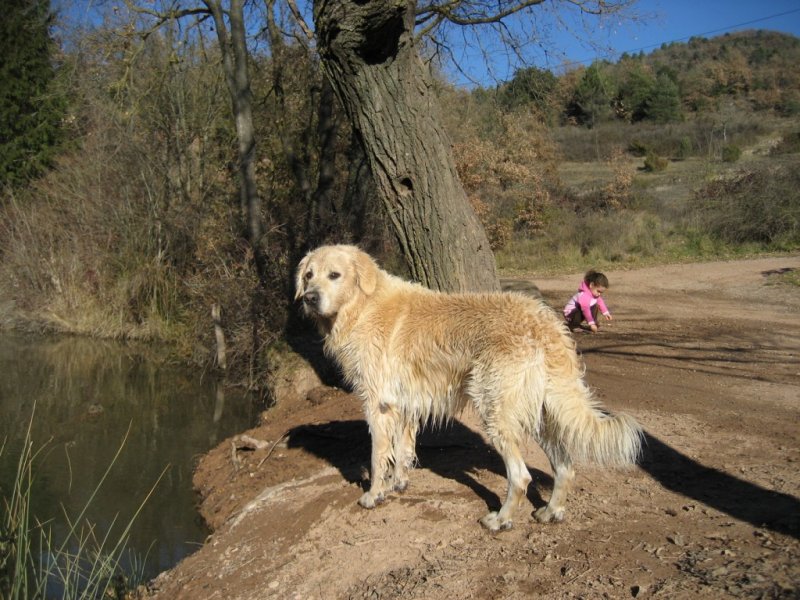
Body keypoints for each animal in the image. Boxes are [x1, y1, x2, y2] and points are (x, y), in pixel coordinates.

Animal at [296, 246, 644, 532]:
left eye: (335, 275)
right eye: (309, 275)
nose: (309, 298)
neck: (363, 305)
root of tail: (545, 323)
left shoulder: (377, 404)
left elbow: (378, 456)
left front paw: (374, 495)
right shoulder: (404, 404)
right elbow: (402, 451)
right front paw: (399, 484)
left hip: (495, 411)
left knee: (521, 477)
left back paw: (501, 520)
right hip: (541, 414)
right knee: (565, 467)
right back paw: (551, 512)